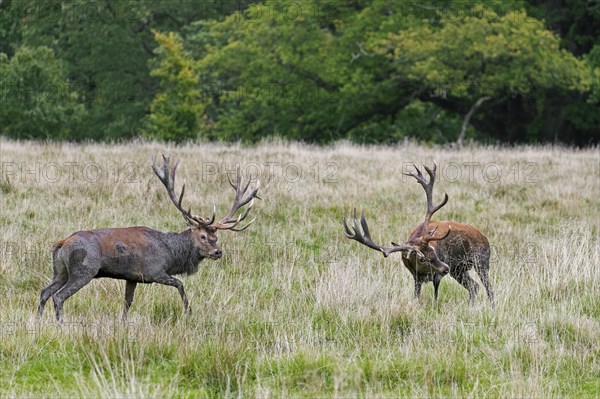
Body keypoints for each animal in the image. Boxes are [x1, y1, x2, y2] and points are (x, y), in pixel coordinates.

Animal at [37, 155, 260, 324]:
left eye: (216, 236)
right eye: (203, 236)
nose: (217, 252)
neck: (171, 255)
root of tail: (61, 243)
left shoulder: (132, 277)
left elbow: (127, 302)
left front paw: (123, 323)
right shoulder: (154, 271)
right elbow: (180, 284)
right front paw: (188, 313)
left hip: (60, 271)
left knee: (45, 291)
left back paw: (39, 321)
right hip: (84, 269)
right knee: (58, 296)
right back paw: (60, 324)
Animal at [344, 161, 494, 304]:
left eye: (433, 250)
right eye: (422, 258)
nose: (445, 267)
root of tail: (484, 237)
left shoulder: (438, 274)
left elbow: (435, 296)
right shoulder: (415, 277)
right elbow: (416, 296)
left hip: (481, 260)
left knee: (489, 289)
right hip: (458, 270)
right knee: (474, 286)